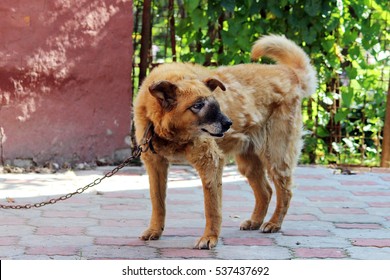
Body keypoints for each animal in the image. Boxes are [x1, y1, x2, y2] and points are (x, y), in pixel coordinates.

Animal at [134, 35, 316, 249]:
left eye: (215, 103)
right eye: (197, 105)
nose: (229, 124)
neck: (170, 133)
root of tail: (290, 73)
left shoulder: (210, 163)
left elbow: (212, 208)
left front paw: (209, 238)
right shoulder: (155, 165)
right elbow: (158, 202)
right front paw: (155, 230)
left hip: (275, 157)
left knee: (285, 192)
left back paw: (274, 223)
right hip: (249, 163)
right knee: (266, 191)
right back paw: (255, 221)